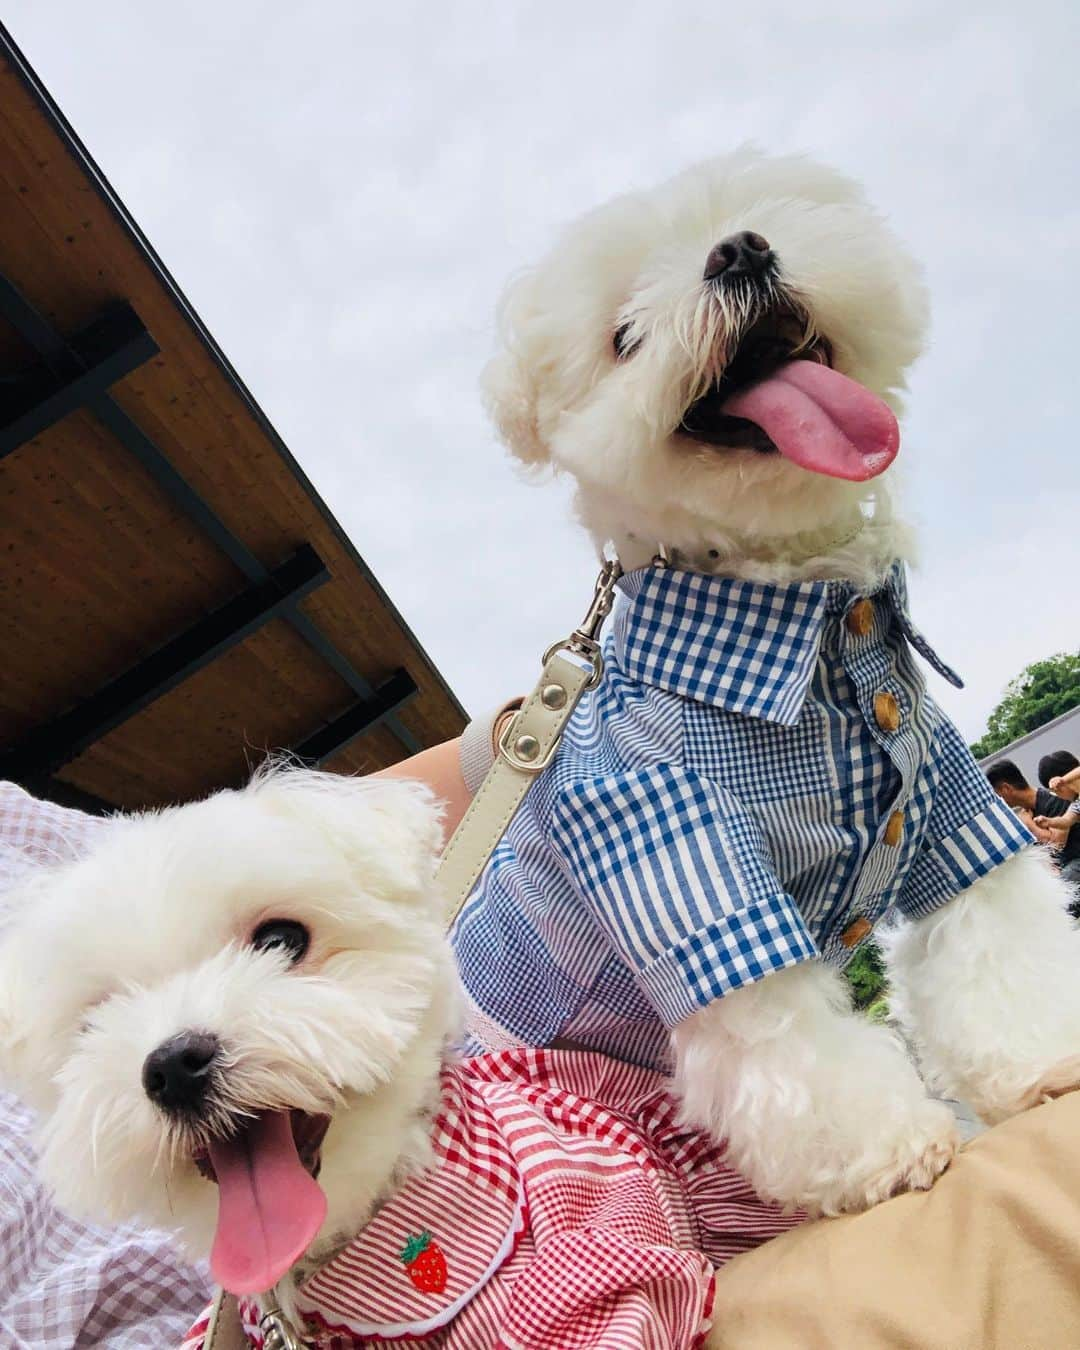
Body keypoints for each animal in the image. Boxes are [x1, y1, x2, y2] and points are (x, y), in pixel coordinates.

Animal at [448, 147, 1080, 1215]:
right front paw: (896, 1148)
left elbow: (994, 940)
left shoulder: (950, 806)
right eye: (624, 335)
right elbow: (786, 1037)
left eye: (753, 221)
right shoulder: (665, 847)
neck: (807, 621)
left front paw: (1046, 1062)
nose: (739, 252)